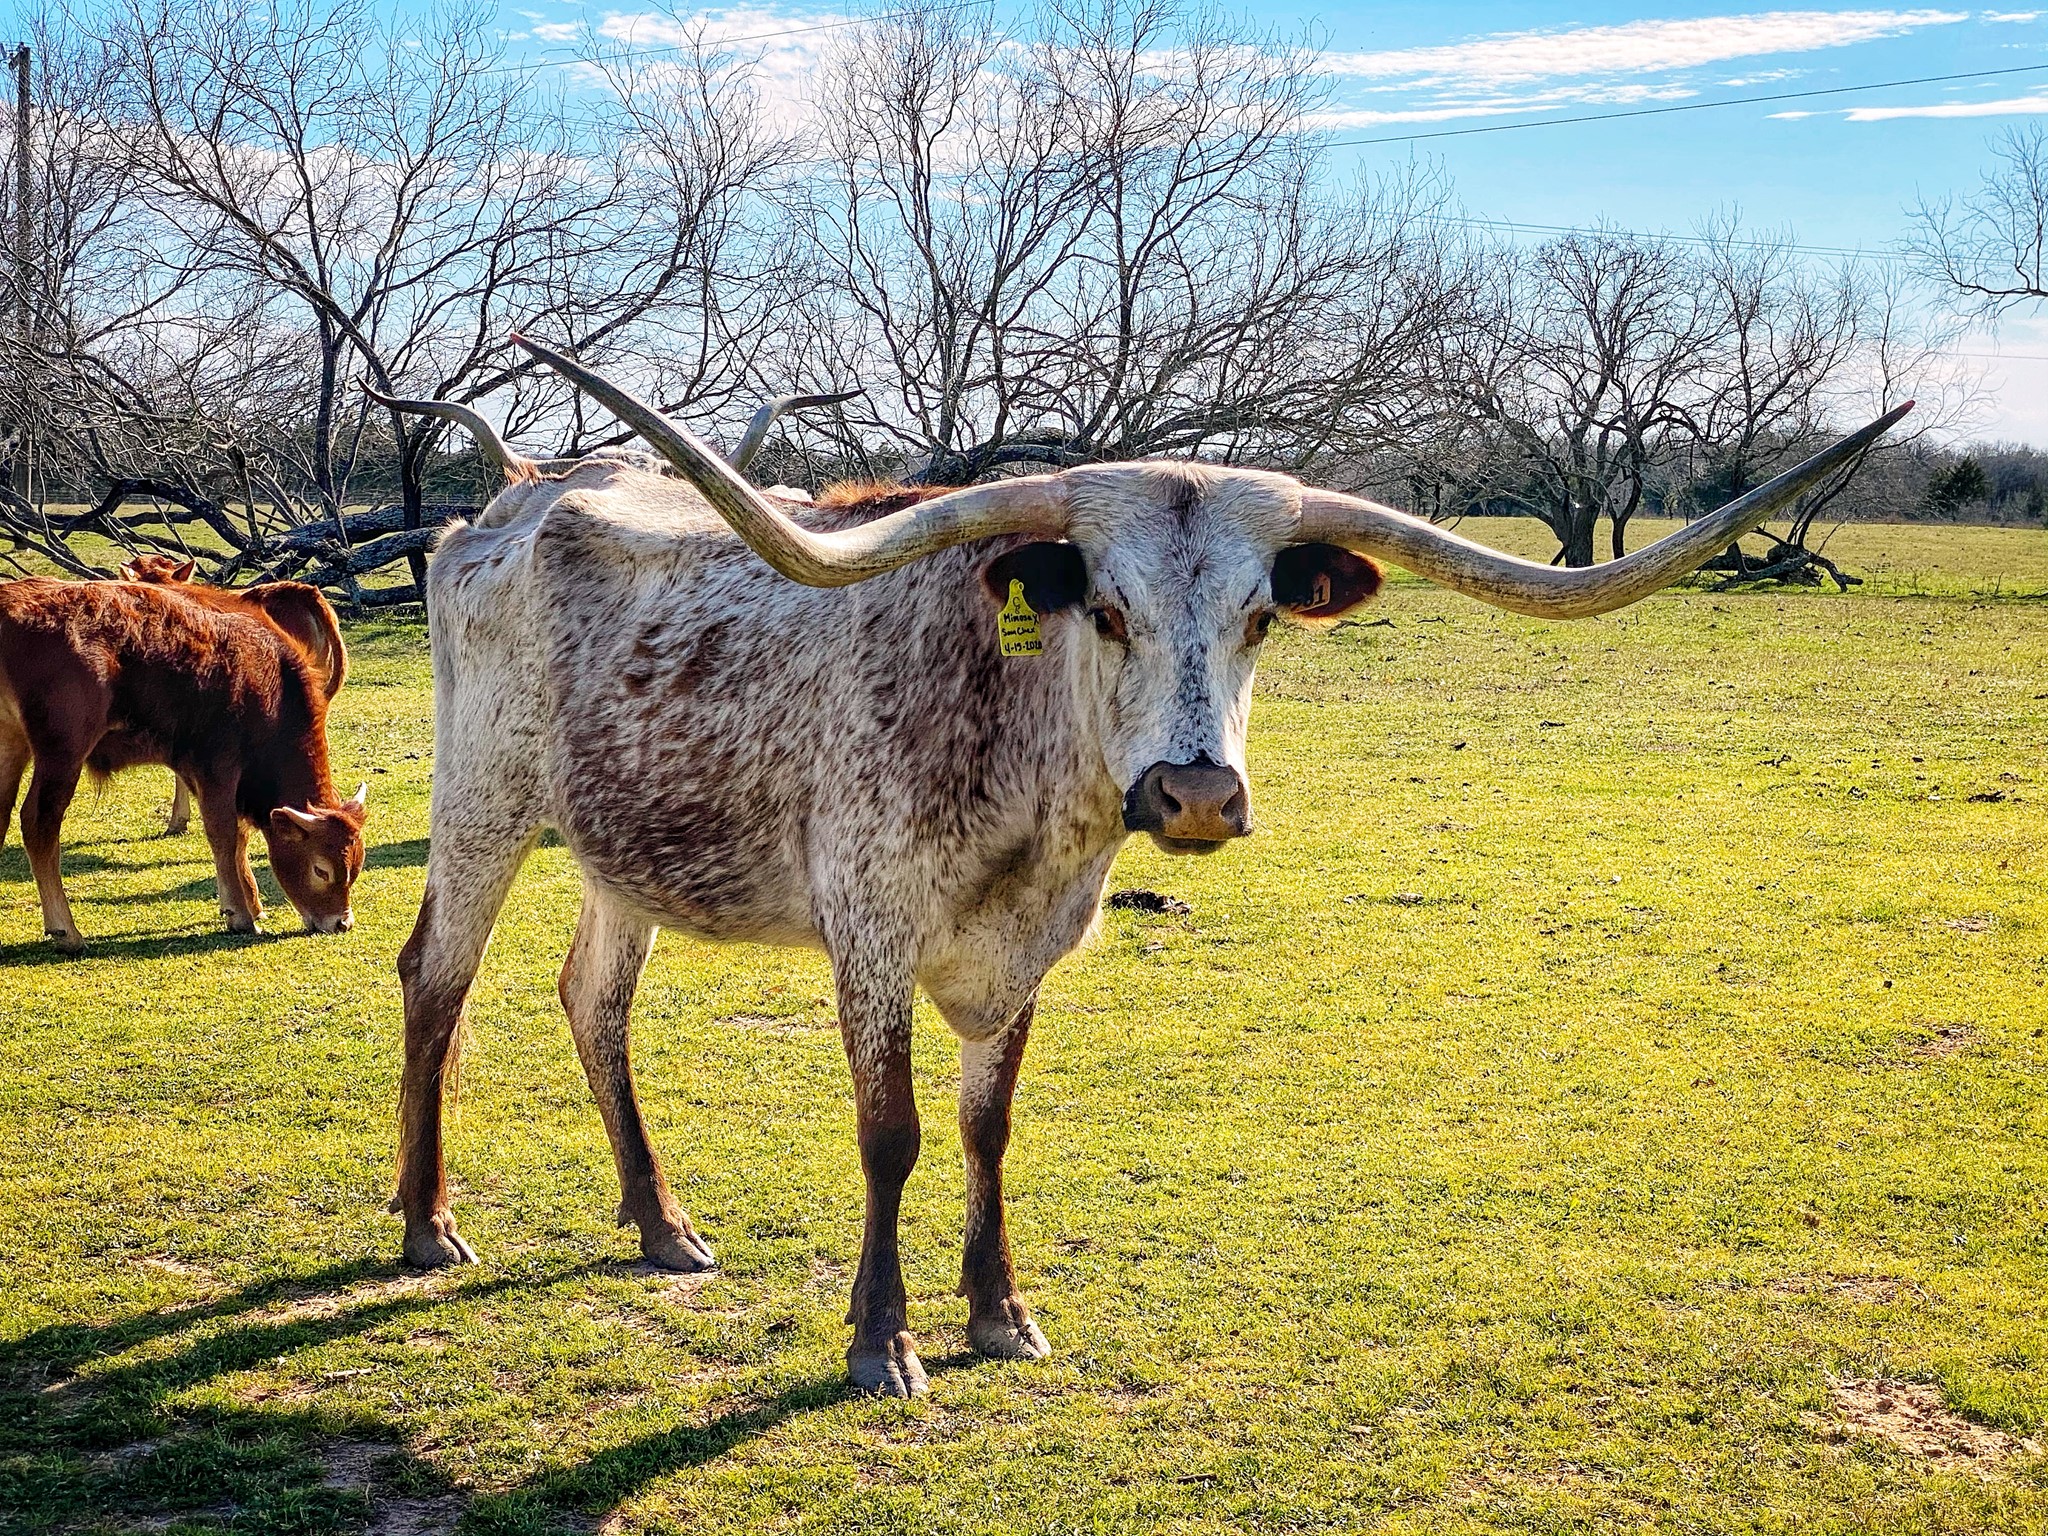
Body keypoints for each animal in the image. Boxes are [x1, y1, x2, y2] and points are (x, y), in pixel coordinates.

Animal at [385, 338, 1909, 1396]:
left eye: (1260, 619)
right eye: (1103, 610)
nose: (1193, 795)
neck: (1011, 759)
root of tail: (515, 498)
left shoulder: (1034, 948)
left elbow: (989, 1129)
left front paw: (999, 1312)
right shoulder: (868, 932)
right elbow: (893, 1134)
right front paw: (882, 1343)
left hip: (622, 848)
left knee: (593, 1001)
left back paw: (659, 1223)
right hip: (483, 806)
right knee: (433, 981)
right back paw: (426, 1226)